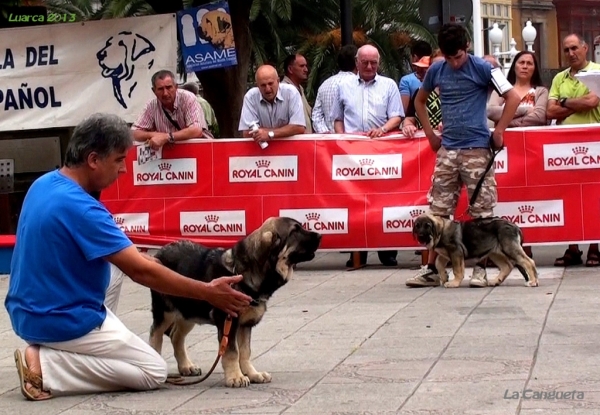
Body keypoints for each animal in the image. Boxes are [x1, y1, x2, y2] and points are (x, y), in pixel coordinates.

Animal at [148, 216, 322, 388]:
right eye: (294, 231)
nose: (320, 235)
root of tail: (160, 252)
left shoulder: (245, 325)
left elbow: (245, 352)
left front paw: (252, 374)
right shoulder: (228, 320)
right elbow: (232, 351)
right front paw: (236, 377)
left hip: (189, 310)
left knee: (176, 335)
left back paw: (186, 366)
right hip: (166, 310)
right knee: (156, 334)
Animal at [412, 213, 540, 288]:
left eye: (428, 226)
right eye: (417, 226)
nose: (421, 236)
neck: (441, 231)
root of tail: (516, 227)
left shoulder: (455, 252)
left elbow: (457, 270)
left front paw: (454, 283)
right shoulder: (445, 254)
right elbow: (438, 263)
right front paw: (443, 277)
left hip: (509, 248)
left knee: (528, 262)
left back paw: (533, 281)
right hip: (495, 252)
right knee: (507, 266)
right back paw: (496, 281)